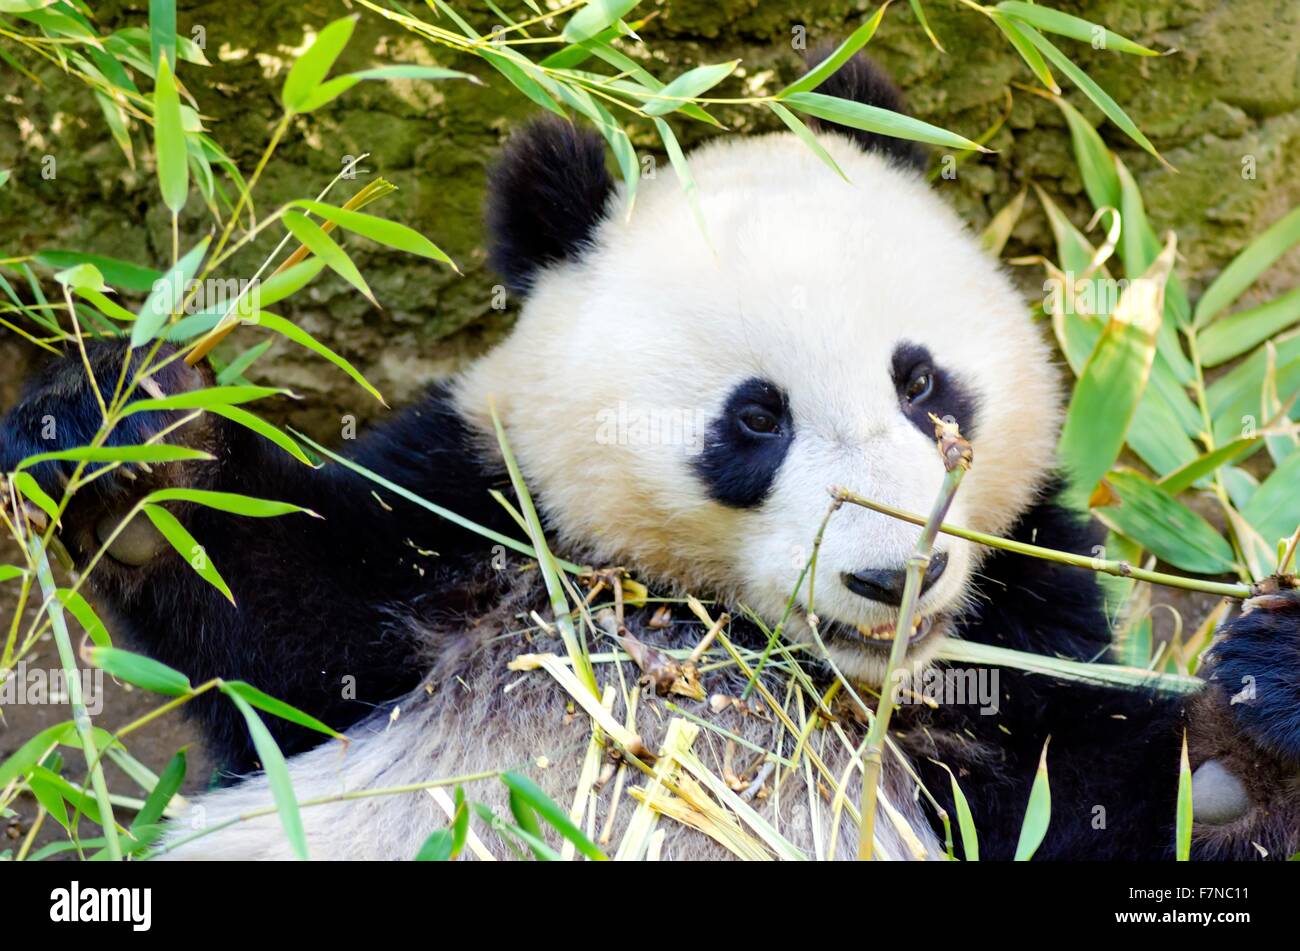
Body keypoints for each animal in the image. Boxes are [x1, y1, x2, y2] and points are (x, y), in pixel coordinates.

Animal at [3, 54, 1299, 861]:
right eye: (755, 421)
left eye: (921, 382)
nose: (897, 579)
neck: (731, 637)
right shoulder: (481, 522)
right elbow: (281, 638)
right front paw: (125, 446)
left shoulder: (1015, 615)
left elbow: (1088, 795)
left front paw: (1255, 726)